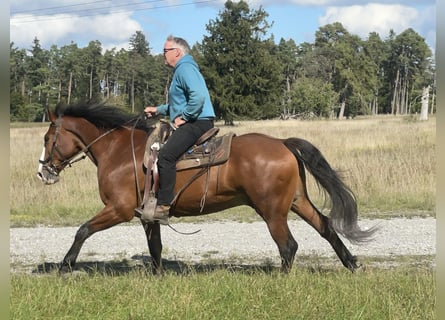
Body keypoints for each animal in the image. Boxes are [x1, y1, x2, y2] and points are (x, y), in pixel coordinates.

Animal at [36, 104, 372, 274]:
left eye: (47, 138)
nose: (42, 171)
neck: (118, 152)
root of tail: (282, 143)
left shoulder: (118, 209)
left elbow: (83, 230)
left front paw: (64, 265)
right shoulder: (148, 215)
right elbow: (155, 247)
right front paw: (157, 276)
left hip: (272, 211)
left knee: (288, 246)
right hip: (297, 201)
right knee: (325, 226)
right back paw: (352, 264)